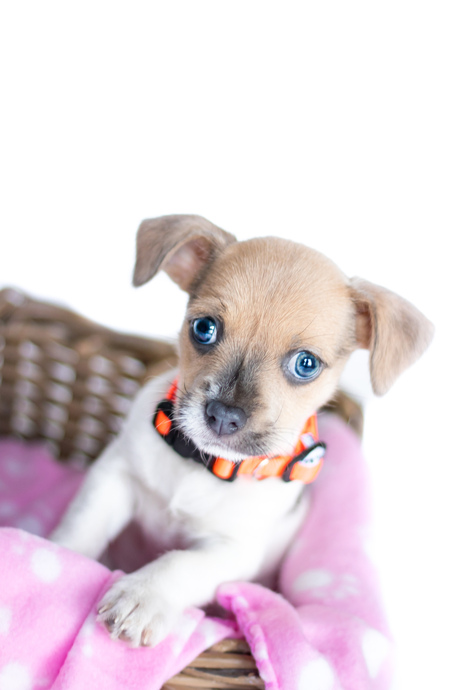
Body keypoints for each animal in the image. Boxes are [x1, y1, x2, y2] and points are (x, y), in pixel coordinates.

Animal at [51, 215, 434, 644]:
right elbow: (83, 524)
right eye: (204, 328)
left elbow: (182, 564)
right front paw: (61, 557)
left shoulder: (233, 550)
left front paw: (141, 596)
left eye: (306, 364)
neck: (203, 466)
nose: (222, 415)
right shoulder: (114, 477)